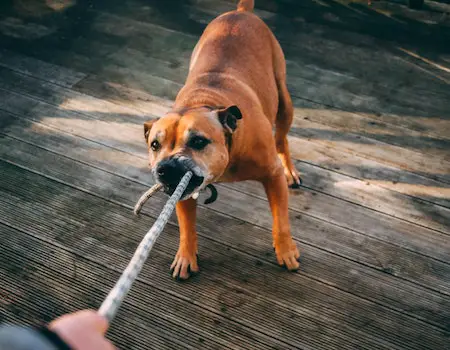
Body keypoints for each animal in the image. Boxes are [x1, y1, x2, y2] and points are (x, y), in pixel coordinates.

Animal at [142, 0, 300, 278]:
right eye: (154, 145)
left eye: (198, 141)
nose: (166, 168)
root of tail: (241, 12)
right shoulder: (183, 192)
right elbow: (187, 226)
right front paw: (185, 256)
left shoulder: (272, 175)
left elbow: (280, 220)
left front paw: (286, 251)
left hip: (284, 101)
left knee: (282, 138)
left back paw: (290, 169)